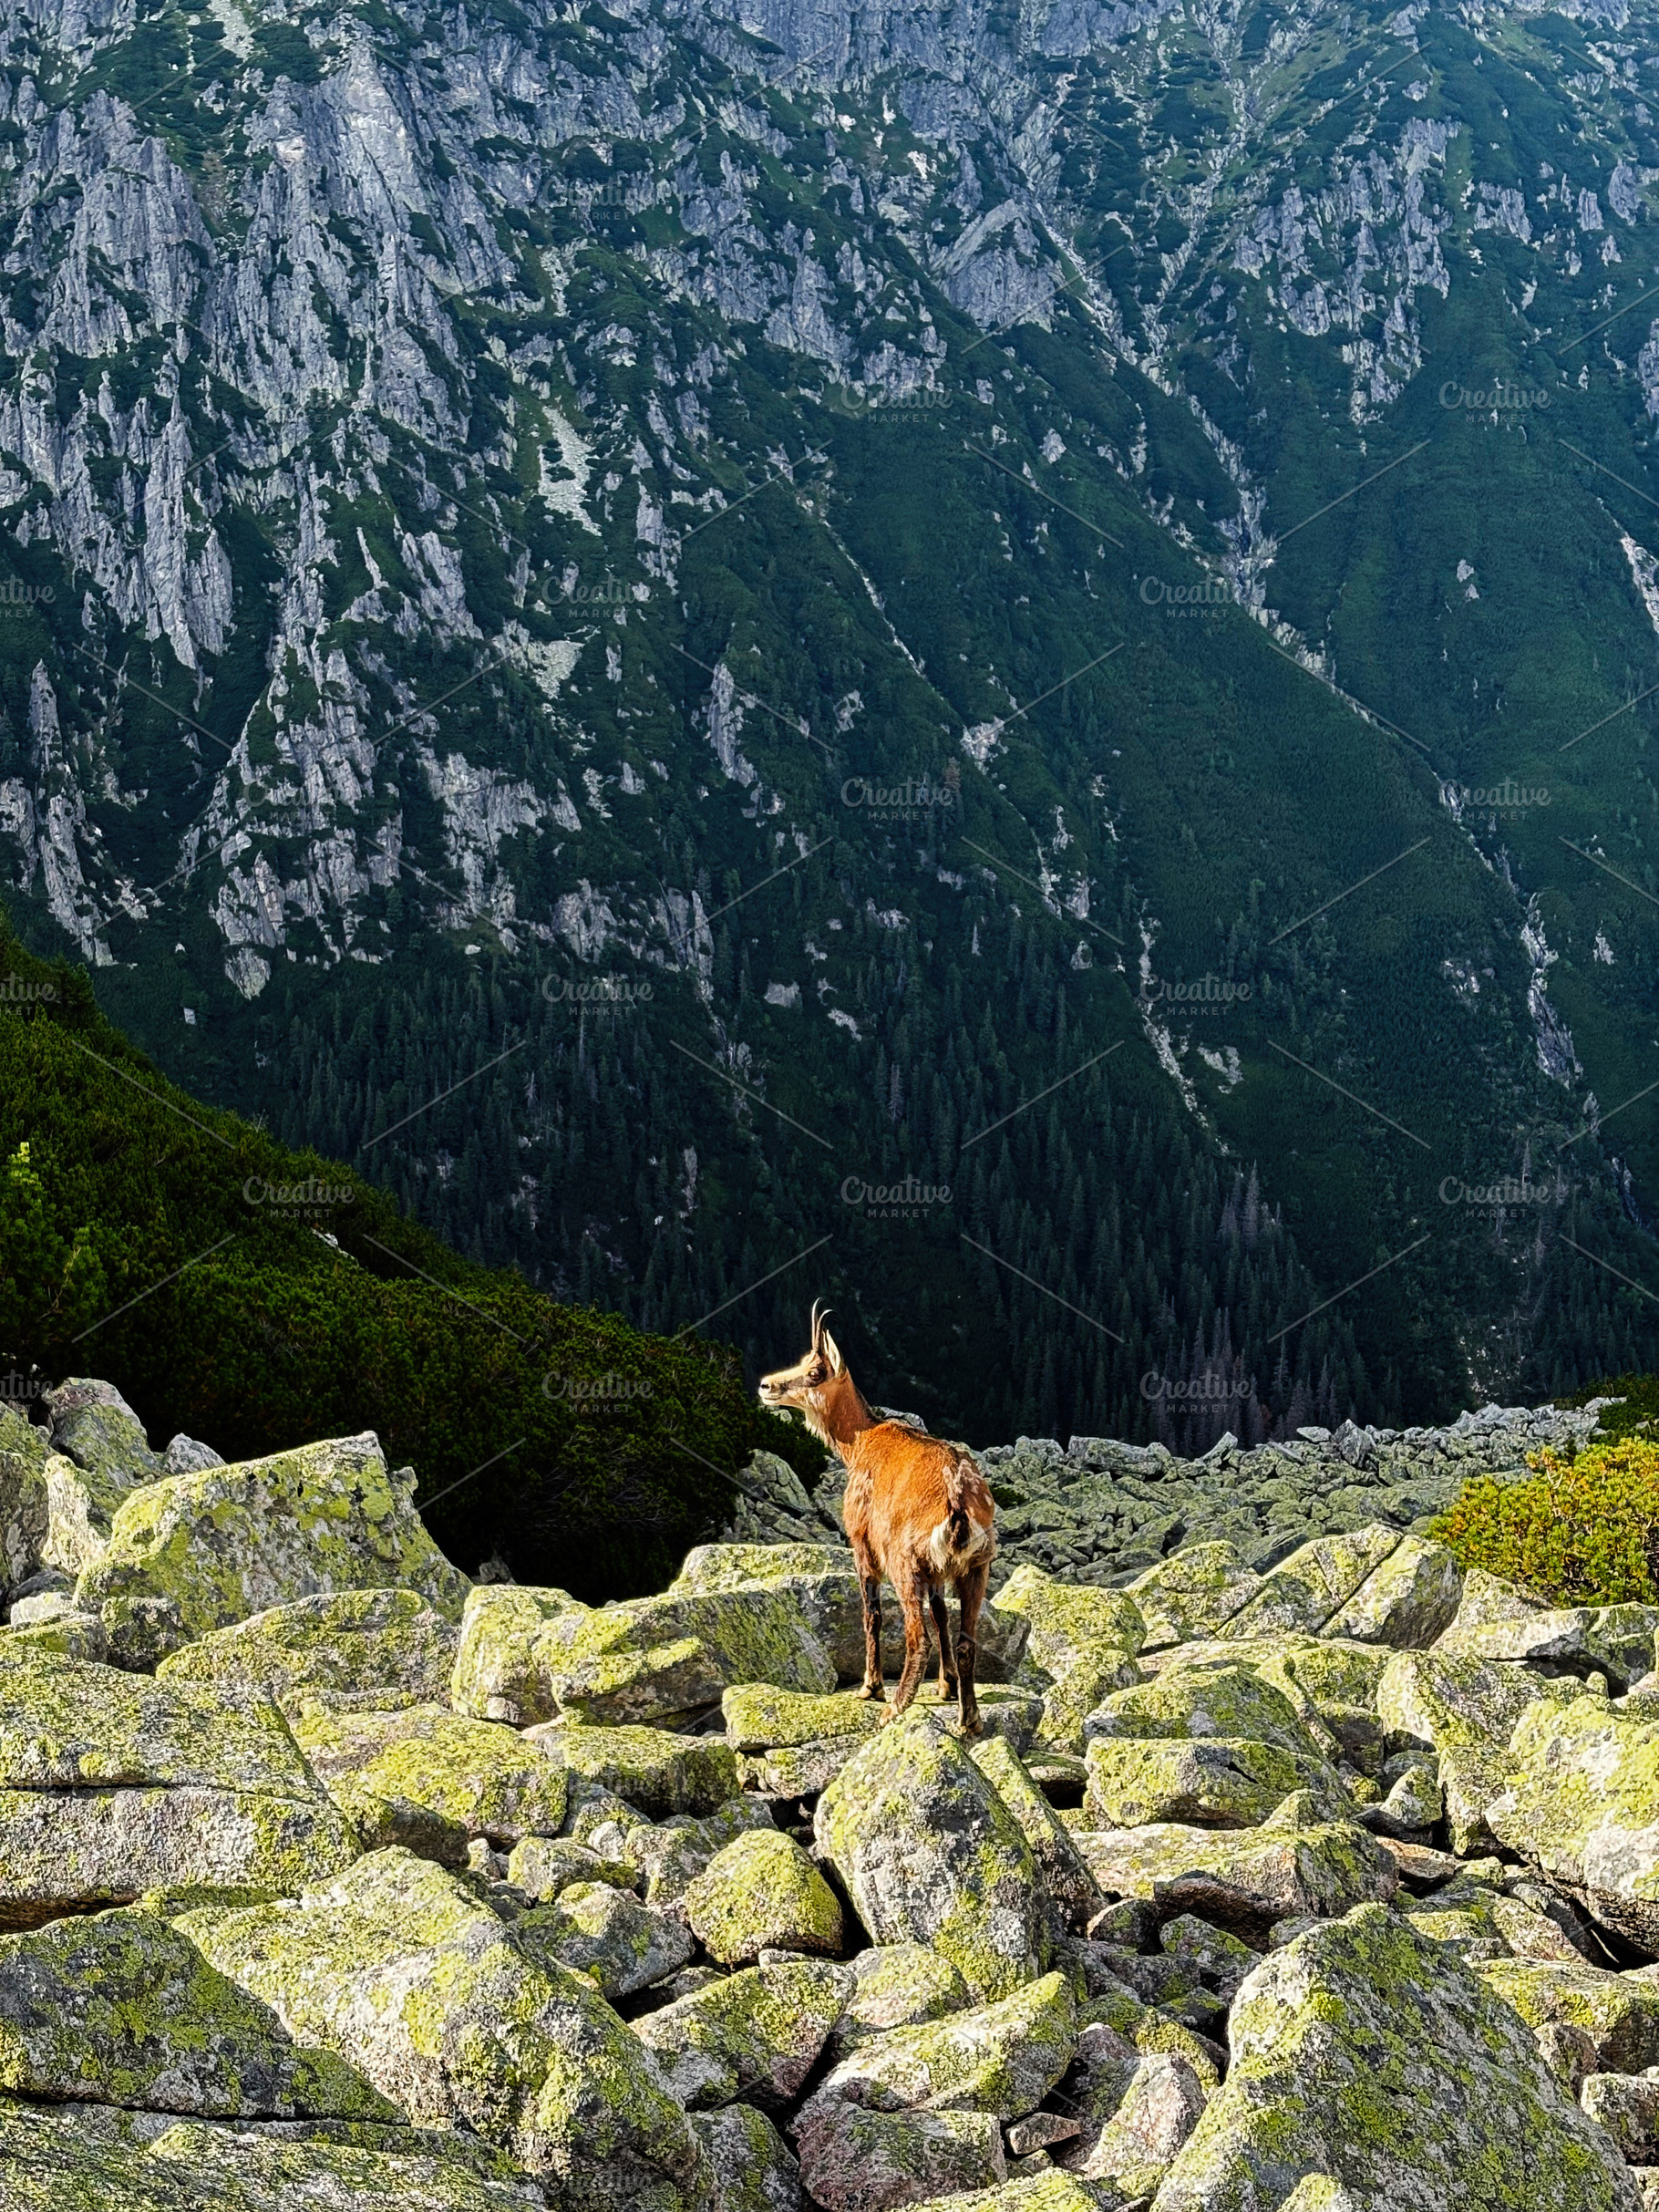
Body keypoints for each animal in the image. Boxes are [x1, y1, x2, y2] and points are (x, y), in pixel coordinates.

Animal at [758, 1301, 996, 1733]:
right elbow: (942, 1615)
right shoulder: (940, 1572)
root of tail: (957, 1501)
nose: (767, 1386)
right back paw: (969, 1718)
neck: (861, 1442)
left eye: (815, 1371)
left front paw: (870, 1687)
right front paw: (946, 1685)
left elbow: (871, 1613)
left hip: (905, 1561)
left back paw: (895, 1707)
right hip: (977, 1566)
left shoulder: (862, 1542)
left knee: (917, 1637)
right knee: (965, 1639)